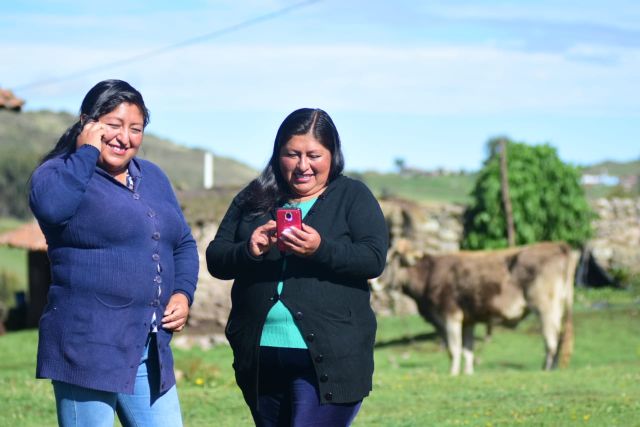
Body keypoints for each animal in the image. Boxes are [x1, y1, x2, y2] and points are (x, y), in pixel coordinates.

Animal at [380, 242, 580, 376]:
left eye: (388, 262)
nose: (378, 283)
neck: (429, 275)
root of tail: (557, 245)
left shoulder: (450, 315)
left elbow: (454, 349)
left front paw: (453, 373)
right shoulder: (468, 320)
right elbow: (468, 350)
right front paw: (468, 373)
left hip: (546, 308)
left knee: (552, 339)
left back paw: (547, 368)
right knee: (561, 336)